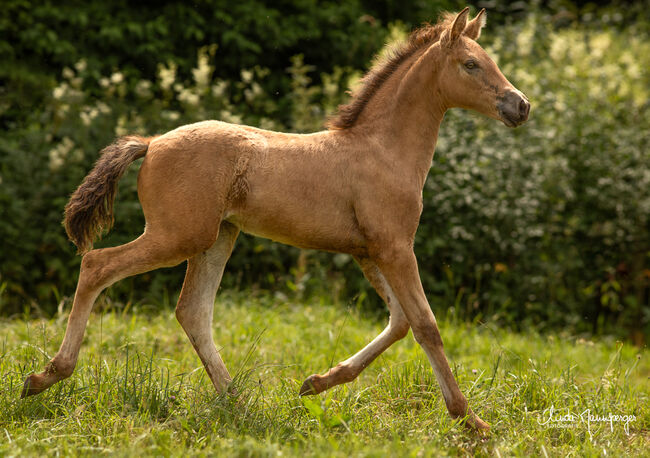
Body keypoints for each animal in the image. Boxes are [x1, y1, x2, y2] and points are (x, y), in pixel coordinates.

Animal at [22, 8, 528, 432]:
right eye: (470, 64)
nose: (520, 105)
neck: (382, 149)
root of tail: (150, 142)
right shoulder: (395, 247)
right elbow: (425, 325)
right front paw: (471, 421)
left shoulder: (369, 252)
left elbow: (400, 321)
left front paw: (316, 383)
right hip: (178, 235)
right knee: (98, 265)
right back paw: (45, 377)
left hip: (217, 238)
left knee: (192, 311)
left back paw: (240, 403)